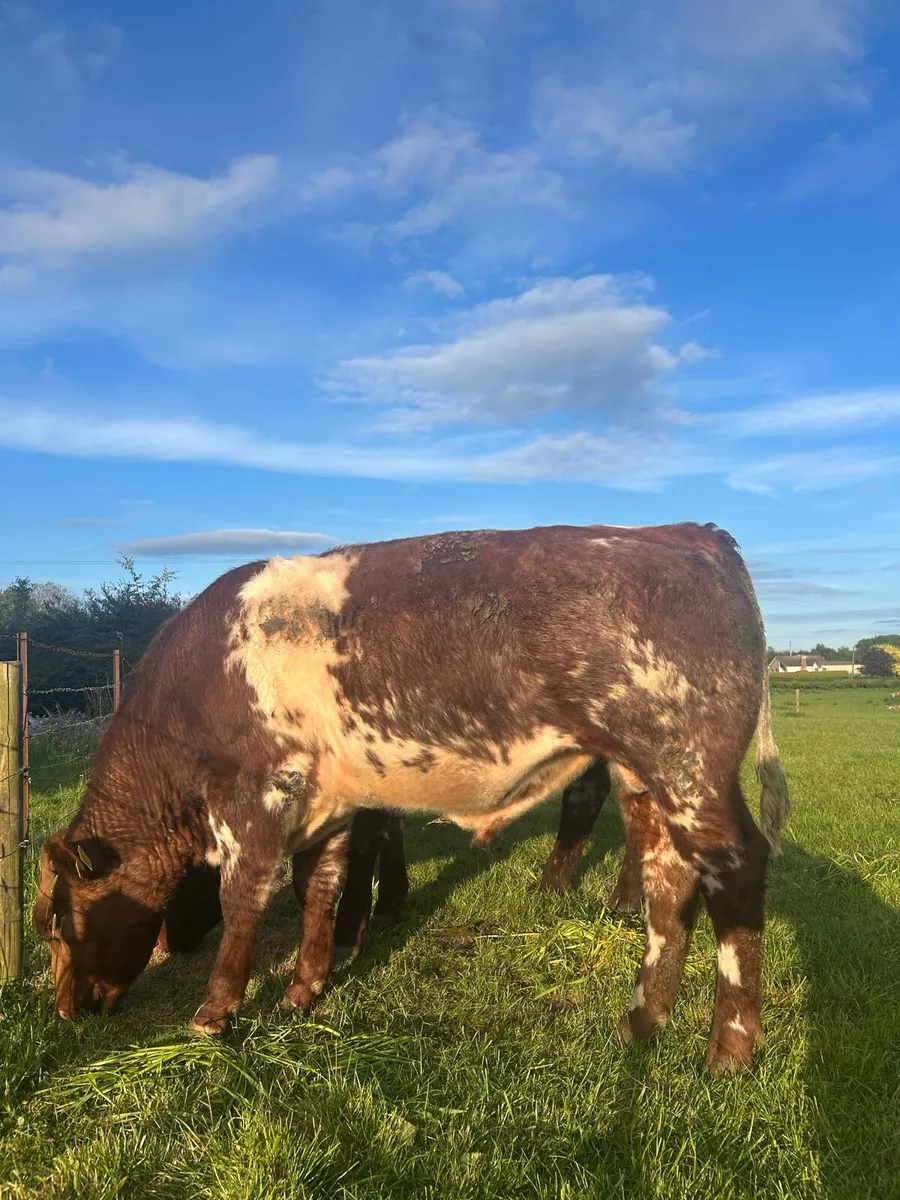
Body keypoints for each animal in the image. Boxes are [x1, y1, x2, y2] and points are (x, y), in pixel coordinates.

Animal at [34, 522, 789, 1071]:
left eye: (59, 923)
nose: (67, 1012)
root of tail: (686, 533)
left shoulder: (256, 796)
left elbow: (243, 901)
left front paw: (213, 1014)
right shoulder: (329, 803)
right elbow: (319, 888)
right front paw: (304, 990)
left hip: (686, 768)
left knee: (735, 873)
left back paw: (728, 1049)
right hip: (652, 781)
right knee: (667, 879)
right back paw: (640, 1021)